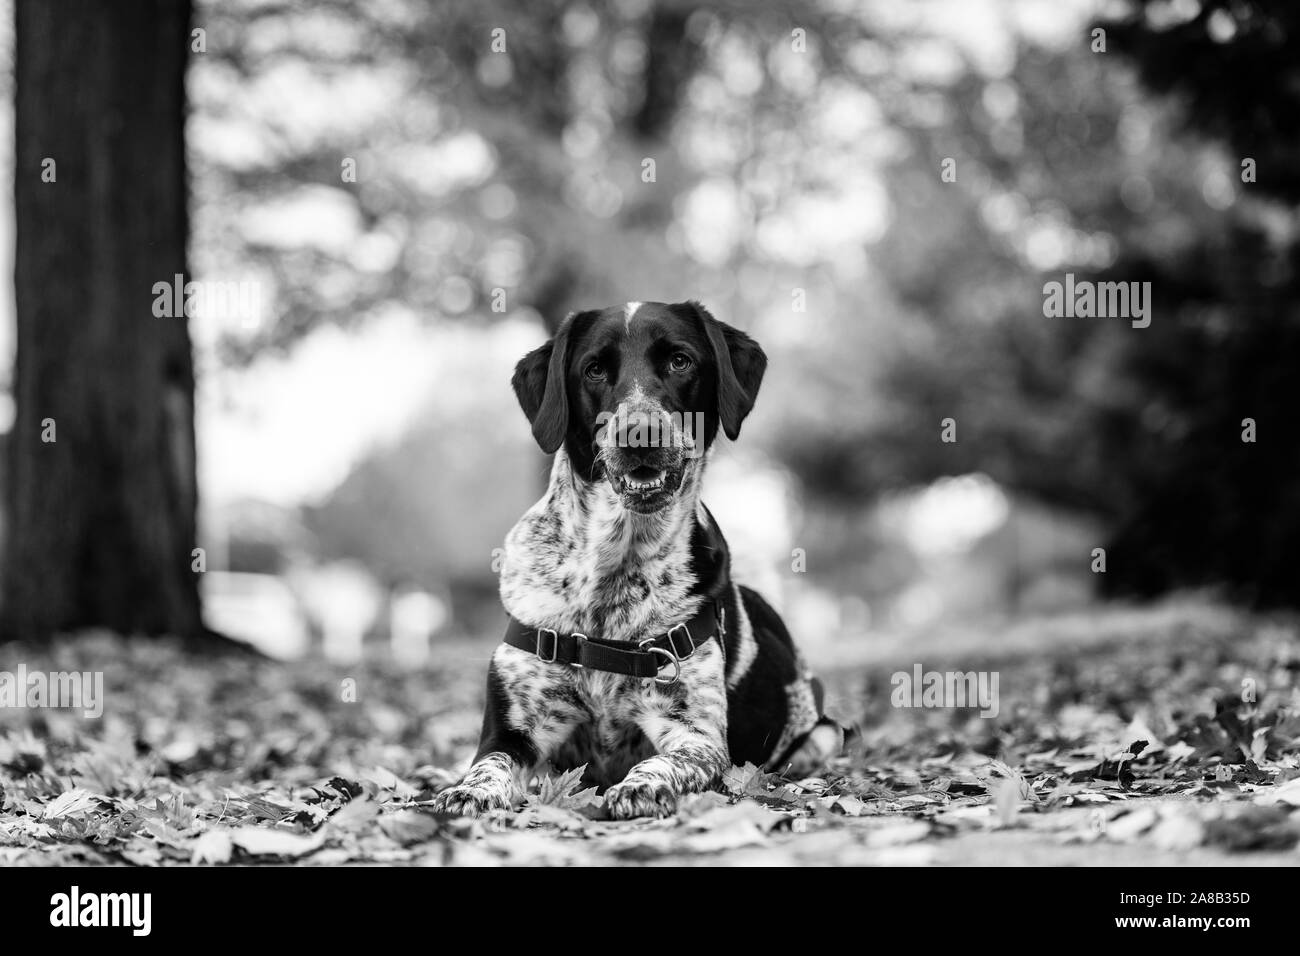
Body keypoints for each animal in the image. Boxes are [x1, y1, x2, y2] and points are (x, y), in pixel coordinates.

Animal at [431, 303, 842, 816]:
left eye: (680, 361)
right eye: (593, 369)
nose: (640, 433)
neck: (616, 560)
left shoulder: (697, 735)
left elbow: (664, 761)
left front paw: (640, 786)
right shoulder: (511, 730)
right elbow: (488, 764)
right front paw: (470, 791)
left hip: (823, 734)